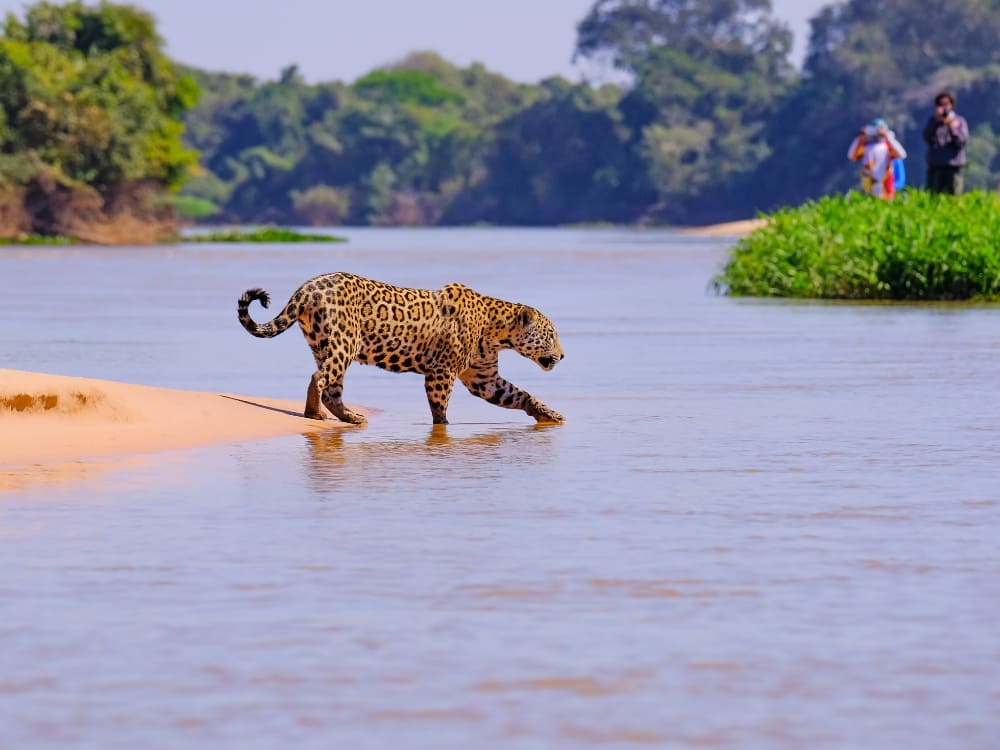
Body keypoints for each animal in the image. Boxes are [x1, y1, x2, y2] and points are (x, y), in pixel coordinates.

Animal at [237, 272, 565, 425]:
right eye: (551, 335)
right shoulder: (441, 372)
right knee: (319, 378)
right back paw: (314, 414)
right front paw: (443, 428)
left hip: (324, 344)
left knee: (331, 387)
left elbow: (520, 394)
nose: (563, 355)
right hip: (345, 342)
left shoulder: (484, 378)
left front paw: (550, 414)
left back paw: (351, 417)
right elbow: (440, 408)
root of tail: (306, 288)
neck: (496, 330)